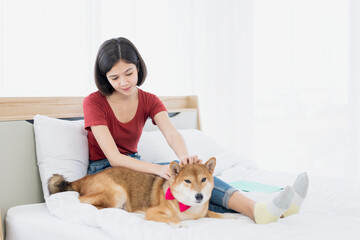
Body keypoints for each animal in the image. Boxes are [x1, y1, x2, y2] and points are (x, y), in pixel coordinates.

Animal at [48, 158, 225, 227]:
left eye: (203, 179)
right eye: (187, 181)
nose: (199, 196)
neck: (188, 208)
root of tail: (86, 177)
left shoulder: (204, 213)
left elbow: (217, 215)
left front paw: (229, 217)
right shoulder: (153, 212)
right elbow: (170, 219)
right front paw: (179, 224)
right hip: (117, 192)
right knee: (86, 202)